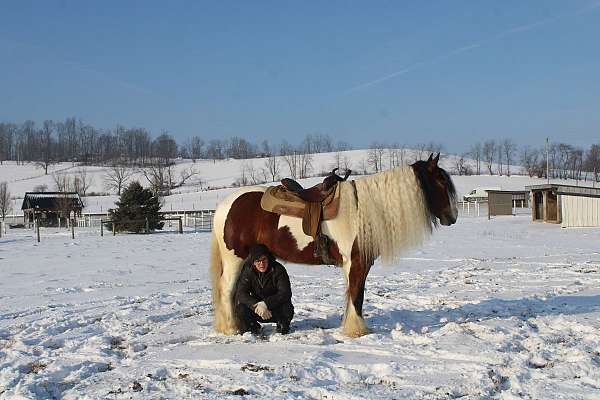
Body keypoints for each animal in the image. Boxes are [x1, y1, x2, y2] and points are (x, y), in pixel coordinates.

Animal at [209, 153, 458, 338]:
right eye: (441, 182)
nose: (452, 217)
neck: (362, 209)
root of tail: (225, 205)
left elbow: (353, 295)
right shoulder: (357, 263)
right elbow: (357, 296)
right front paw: (357, 330)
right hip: (234, 259)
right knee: (227, 290)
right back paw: (231, 328)